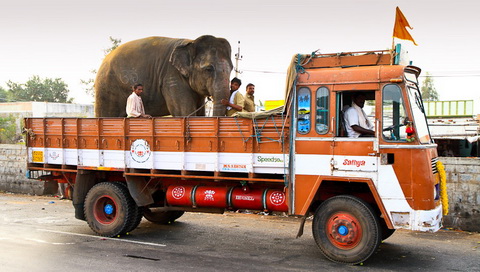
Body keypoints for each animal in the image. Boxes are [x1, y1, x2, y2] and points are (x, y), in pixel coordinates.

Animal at [94, 35, 232, 117]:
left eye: (231, 69)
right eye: (209, 69)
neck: (190, 42)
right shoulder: (172, 77)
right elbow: (184, 112)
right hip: (107, 88)